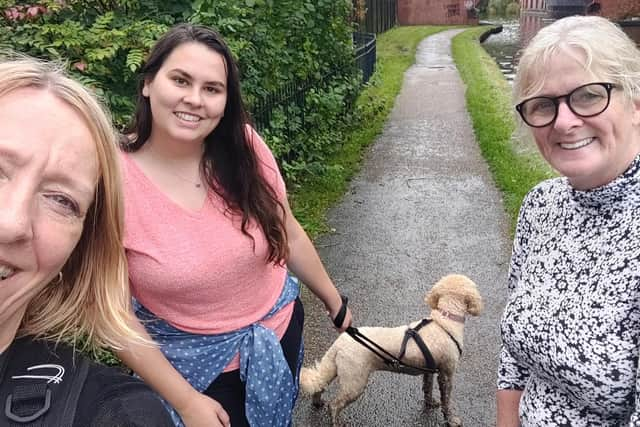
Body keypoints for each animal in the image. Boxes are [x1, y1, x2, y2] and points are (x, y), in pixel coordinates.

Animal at [300, 276, 480, 426]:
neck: (444, 321)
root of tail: (340, 342)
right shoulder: (446, 373)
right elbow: (446, 400)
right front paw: (451, 419)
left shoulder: (429, 369)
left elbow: (427, 388)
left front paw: (430, 403)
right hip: (355, 382)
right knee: (334, 405)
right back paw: (336, 421)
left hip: (336, 368)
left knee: (319, 385)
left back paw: (317, 402)